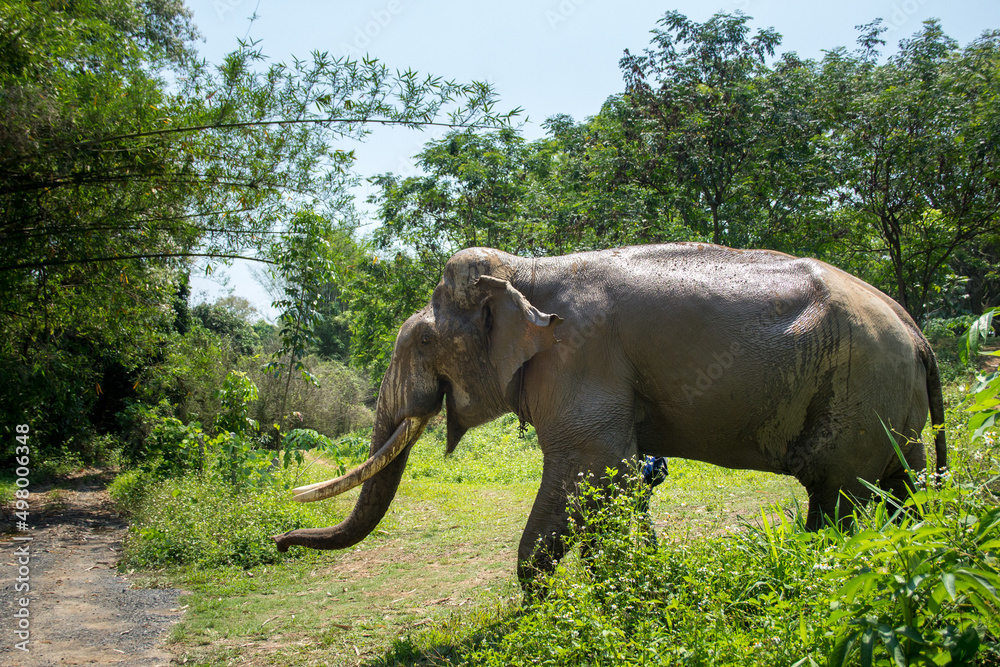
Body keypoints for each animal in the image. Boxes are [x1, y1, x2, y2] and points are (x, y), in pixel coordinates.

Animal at [273, 243, 947, 583]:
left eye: (419, 343)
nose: (280, 541)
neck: (528, 269)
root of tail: (916, 333)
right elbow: (607, 480)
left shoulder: (579, 357)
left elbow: (591, 470)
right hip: (892, 407)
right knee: (900, 491)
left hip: (859, 393)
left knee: (838, 496)